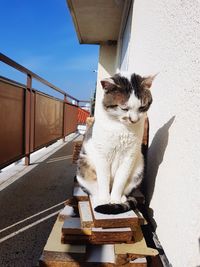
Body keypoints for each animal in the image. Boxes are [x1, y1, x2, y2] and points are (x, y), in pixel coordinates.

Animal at [76, 72, 155, 215]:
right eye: (124, 108)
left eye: (142, 107)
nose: (134, 120)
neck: (121, 128)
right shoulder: (103, 156)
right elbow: (104, 179)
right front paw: (105, 199)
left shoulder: (129, 156)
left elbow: (120, 180)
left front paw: (115, 200)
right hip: (83, 165)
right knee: (93, 188)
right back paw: (98, 198)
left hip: (139, 169)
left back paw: (122, 199)